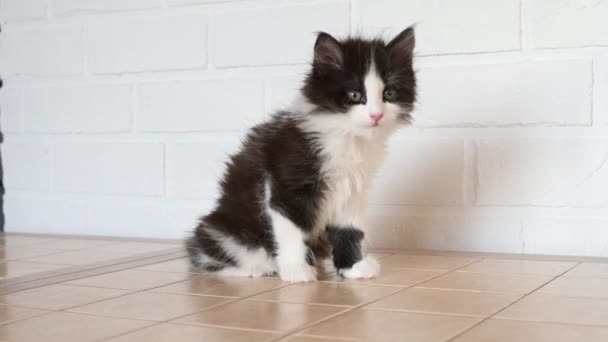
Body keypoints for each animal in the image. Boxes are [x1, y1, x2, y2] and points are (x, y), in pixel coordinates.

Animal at [186, 26, 418, 282]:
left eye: (389, 93)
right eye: (355, 95)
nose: (376, 115)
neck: (347, 138)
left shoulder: (353, 189)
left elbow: (350, 229)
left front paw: (352, 266)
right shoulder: (288, 185)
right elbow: (292, 230)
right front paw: (296, 270)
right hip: (223, 231)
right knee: (210, 255)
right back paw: (259, 269)